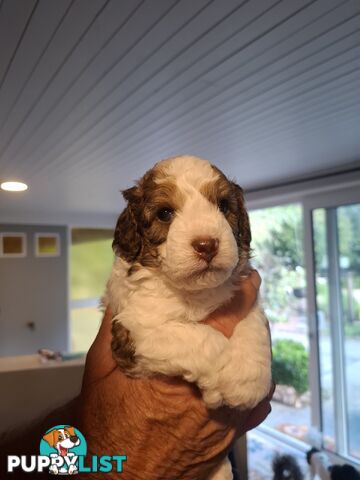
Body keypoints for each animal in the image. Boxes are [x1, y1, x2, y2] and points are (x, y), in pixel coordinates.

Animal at [105, 157, 272, 480]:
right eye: (164, 213)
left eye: (223, 205)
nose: (207, 244)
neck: (194, 294)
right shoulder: (133, 330)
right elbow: (198, 337)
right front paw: (222, 371)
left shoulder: (243, 293)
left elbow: (251, 323)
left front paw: (247, 380)